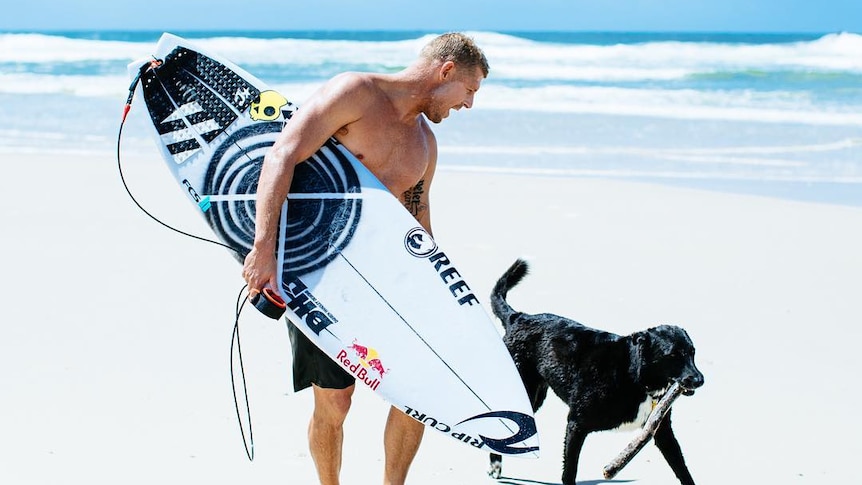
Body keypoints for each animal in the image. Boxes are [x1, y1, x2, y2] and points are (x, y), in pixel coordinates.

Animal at [490, 260, 704, 484]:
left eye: (692, 352)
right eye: (672, 355)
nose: (700, 380)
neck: (634, 375)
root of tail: (518, 317)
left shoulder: (662, 431)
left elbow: (681, 468)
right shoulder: (576, 423)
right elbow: (570, 470)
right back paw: (496, 464)